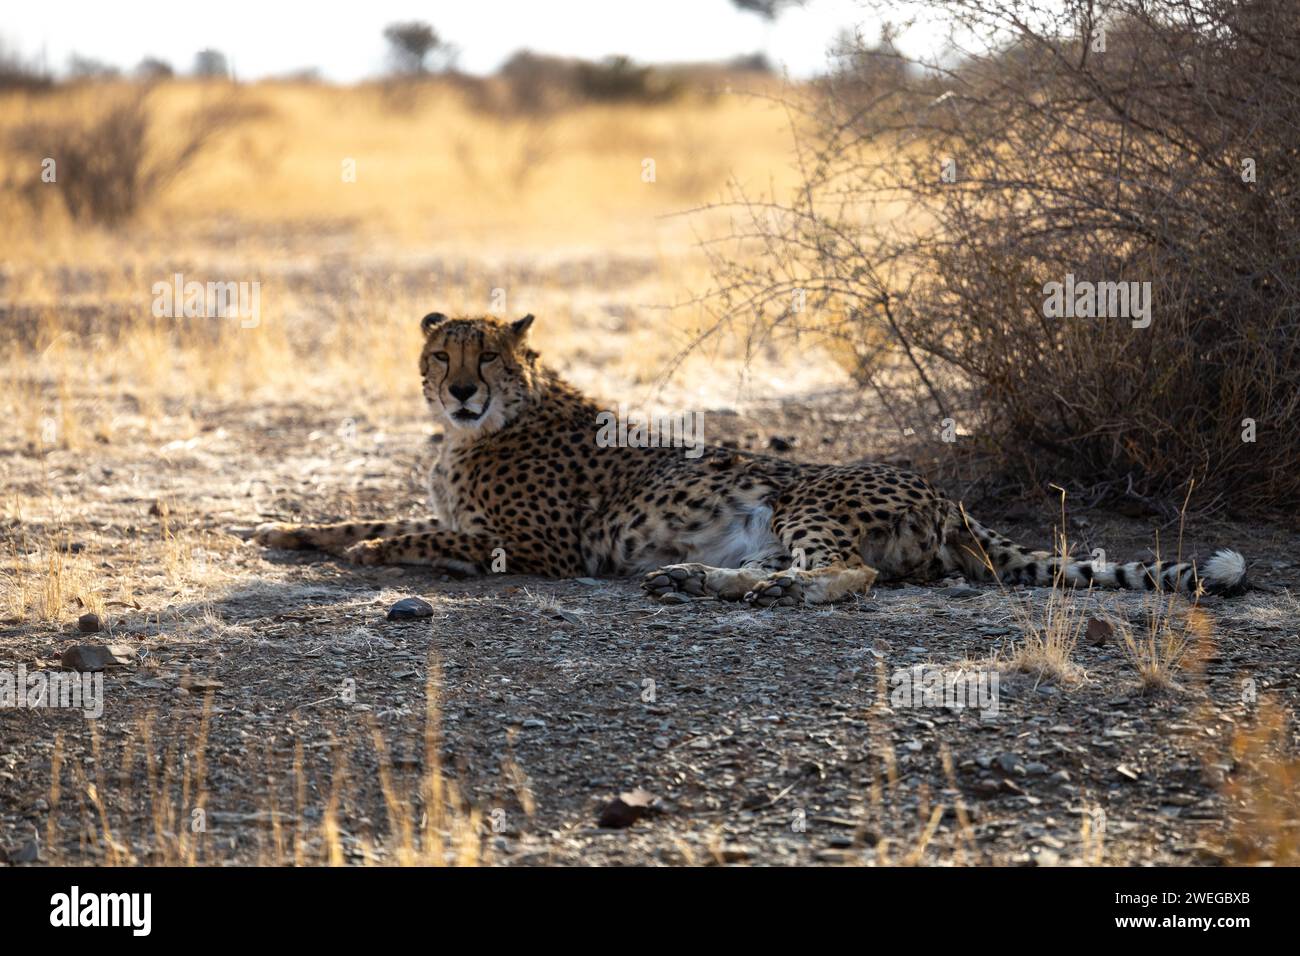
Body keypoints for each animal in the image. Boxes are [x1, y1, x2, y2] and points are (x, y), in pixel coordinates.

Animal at [253, 312, 1248, 606]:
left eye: (490, 355)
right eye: (441, 354)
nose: (461, 391)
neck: (486, 427)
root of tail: (947, 493)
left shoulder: (541, 550)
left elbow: (427, 535)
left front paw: (371, 553)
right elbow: (376, 511)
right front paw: (285, 530)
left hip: (805, 499)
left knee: (846, 576)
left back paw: (752, 591)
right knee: (796, 570)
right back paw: (696, 581)